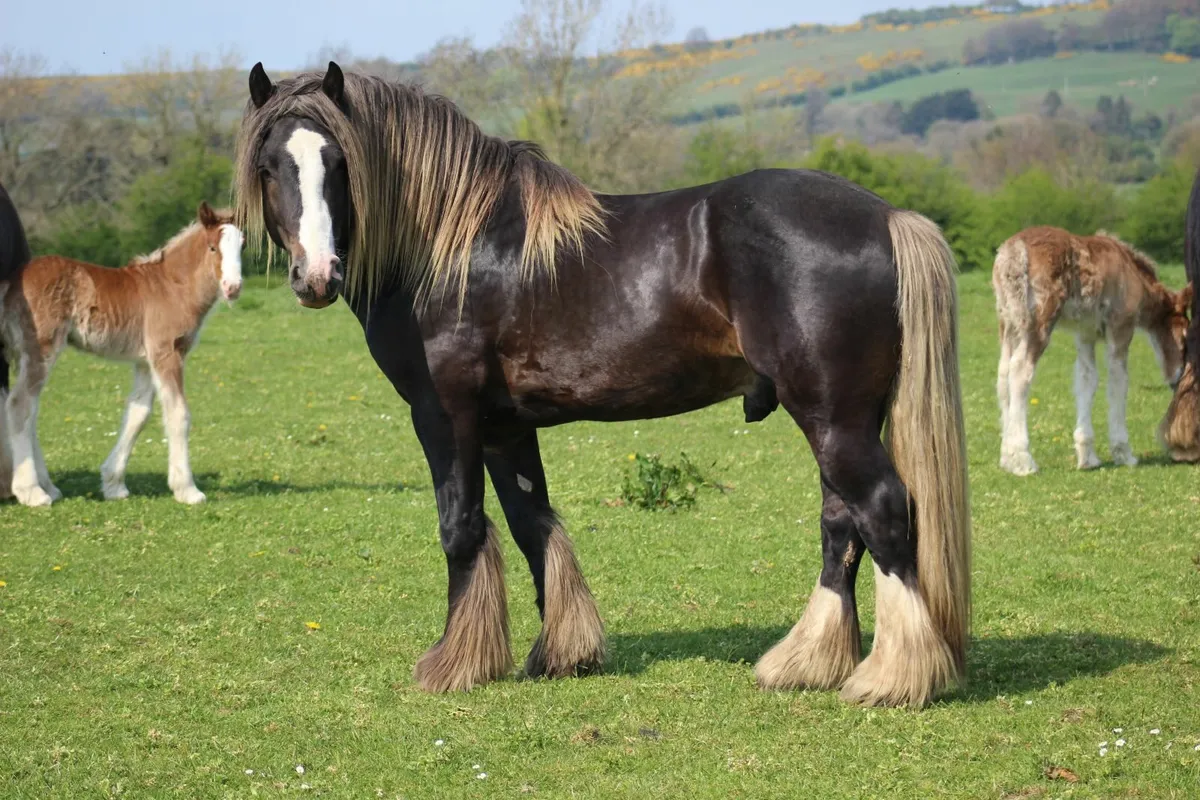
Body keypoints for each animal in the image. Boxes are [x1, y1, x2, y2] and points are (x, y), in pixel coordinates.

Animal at [0, 203, 244, 507]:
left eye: (242, 245)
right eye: (213, 247)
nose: (233, 287)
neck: (173, 286)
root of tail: (12, 282)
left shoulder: (145, 361)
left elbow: (137, 414)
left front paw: (113, 484)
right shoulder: (167, 352)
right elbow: (178, 414)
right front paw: (187, 490)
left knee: (29, 411)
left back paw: (48, 487)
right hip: (40, 348)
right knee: (19, 404)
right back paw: (32, 491)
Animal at [233, 62, 971, 708]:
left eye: (338, 164)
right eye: (270, 167)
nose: (317, 277)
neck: (453, 245)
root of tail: (886, 217)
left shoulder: (444, 415)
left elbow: (461, 527)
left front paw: (454, 665)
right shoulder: (504, 427)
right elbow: (532, 524)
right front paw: (561, 653)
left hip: (834, 418)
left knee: (882, 512)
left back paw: (892, 678)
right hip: (836, 419)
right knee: (841, 525)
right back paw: (806, 663)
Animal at [993, 225, 1190, 476]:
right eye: (1185, 338)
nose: (1177, 377)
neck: (1132, 274)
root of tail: (1013, 252)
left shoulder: (1085, 334)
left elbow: (1087, 380)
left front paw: (1087, 457)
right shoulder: (1121, 328)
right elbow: (1118, 384)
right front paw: (1124, 453)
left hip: (1009, 322)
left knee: (1003, 375)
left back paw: (1006, 458)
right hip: (1039, 321)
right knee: (1020, 372)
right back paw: (1023, 459)